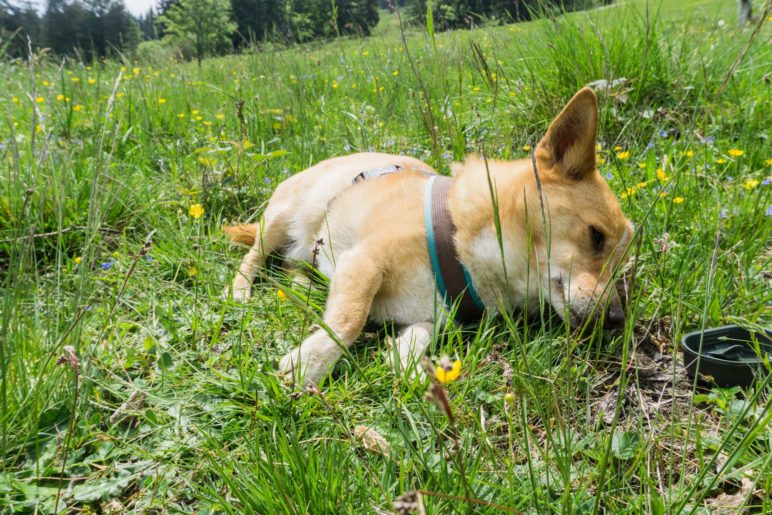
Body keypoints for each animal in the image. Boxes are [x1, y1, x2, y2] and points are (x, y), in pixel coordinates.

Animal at [223, 88, 632, 384]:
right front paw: (311, 362)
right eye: (596, 237)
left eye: (620, 265)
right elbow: (350, 319)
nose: (618, 318)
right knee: (253, 257)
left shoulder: (424, 317)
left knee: (294, 268)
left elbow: (414, 340)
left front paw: (411, 367)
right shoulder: (365, 261)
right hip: (279, 218)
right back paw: (240, 291)